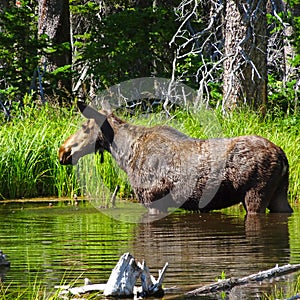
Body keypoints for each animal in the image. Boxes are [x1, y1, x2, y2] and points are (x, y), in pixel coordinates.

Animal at [58, 102, 292, 214]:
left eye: (84, 126)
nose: (62, 151)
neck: (125, 155)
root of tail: (282, 155)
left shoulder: (152, 200)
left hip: (255, 195)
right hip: (279, 194)